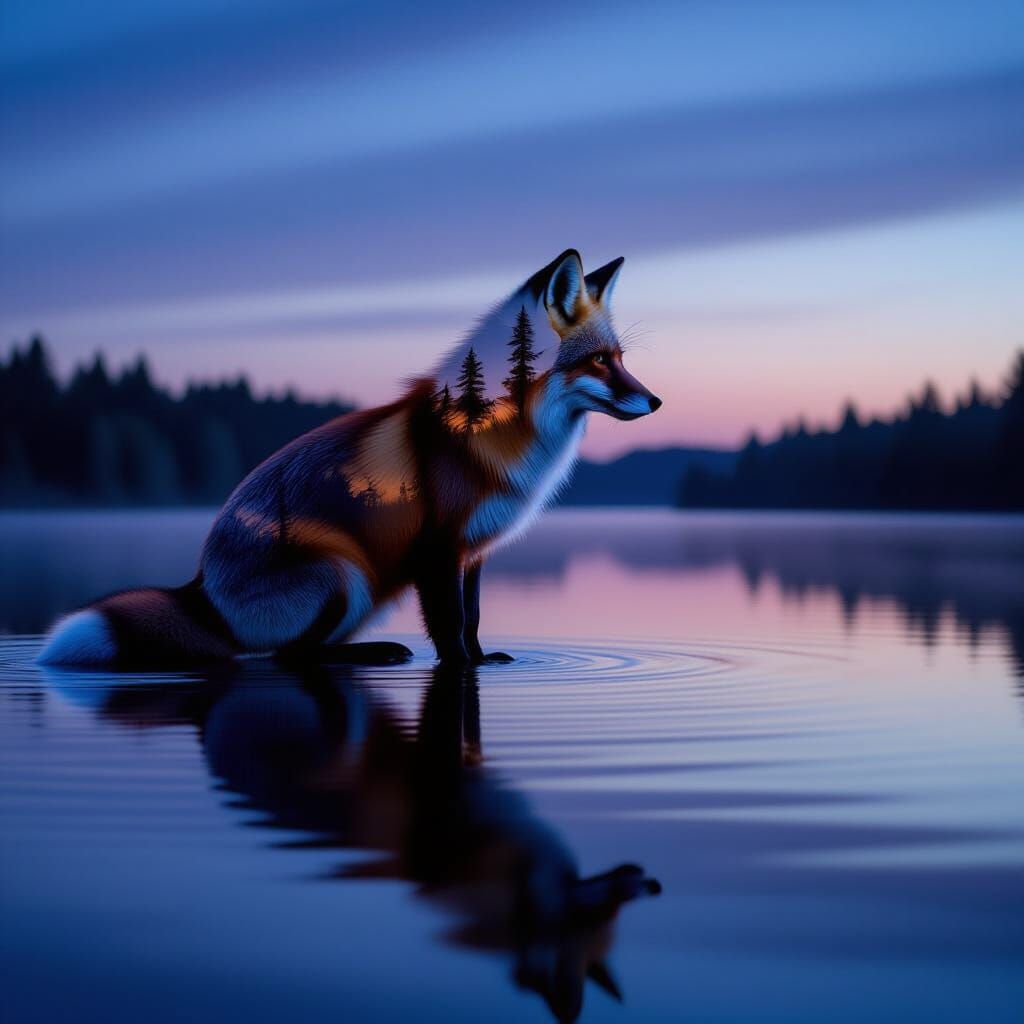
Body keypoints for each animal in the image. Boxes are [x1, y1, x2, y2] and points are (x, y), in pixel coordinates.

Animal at [39, 249, 661, 668]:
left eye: (621, 358)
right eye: (599, 361)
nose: (656, 401)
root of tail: (200, 589)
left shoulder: (473, 552)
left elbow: (474, 619)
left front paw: (483, 662)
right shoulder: (436, 550)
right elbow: (450, 626)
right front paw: (460, 668)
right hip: (345, 575)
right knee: (287, 656)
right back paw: (374, 653)